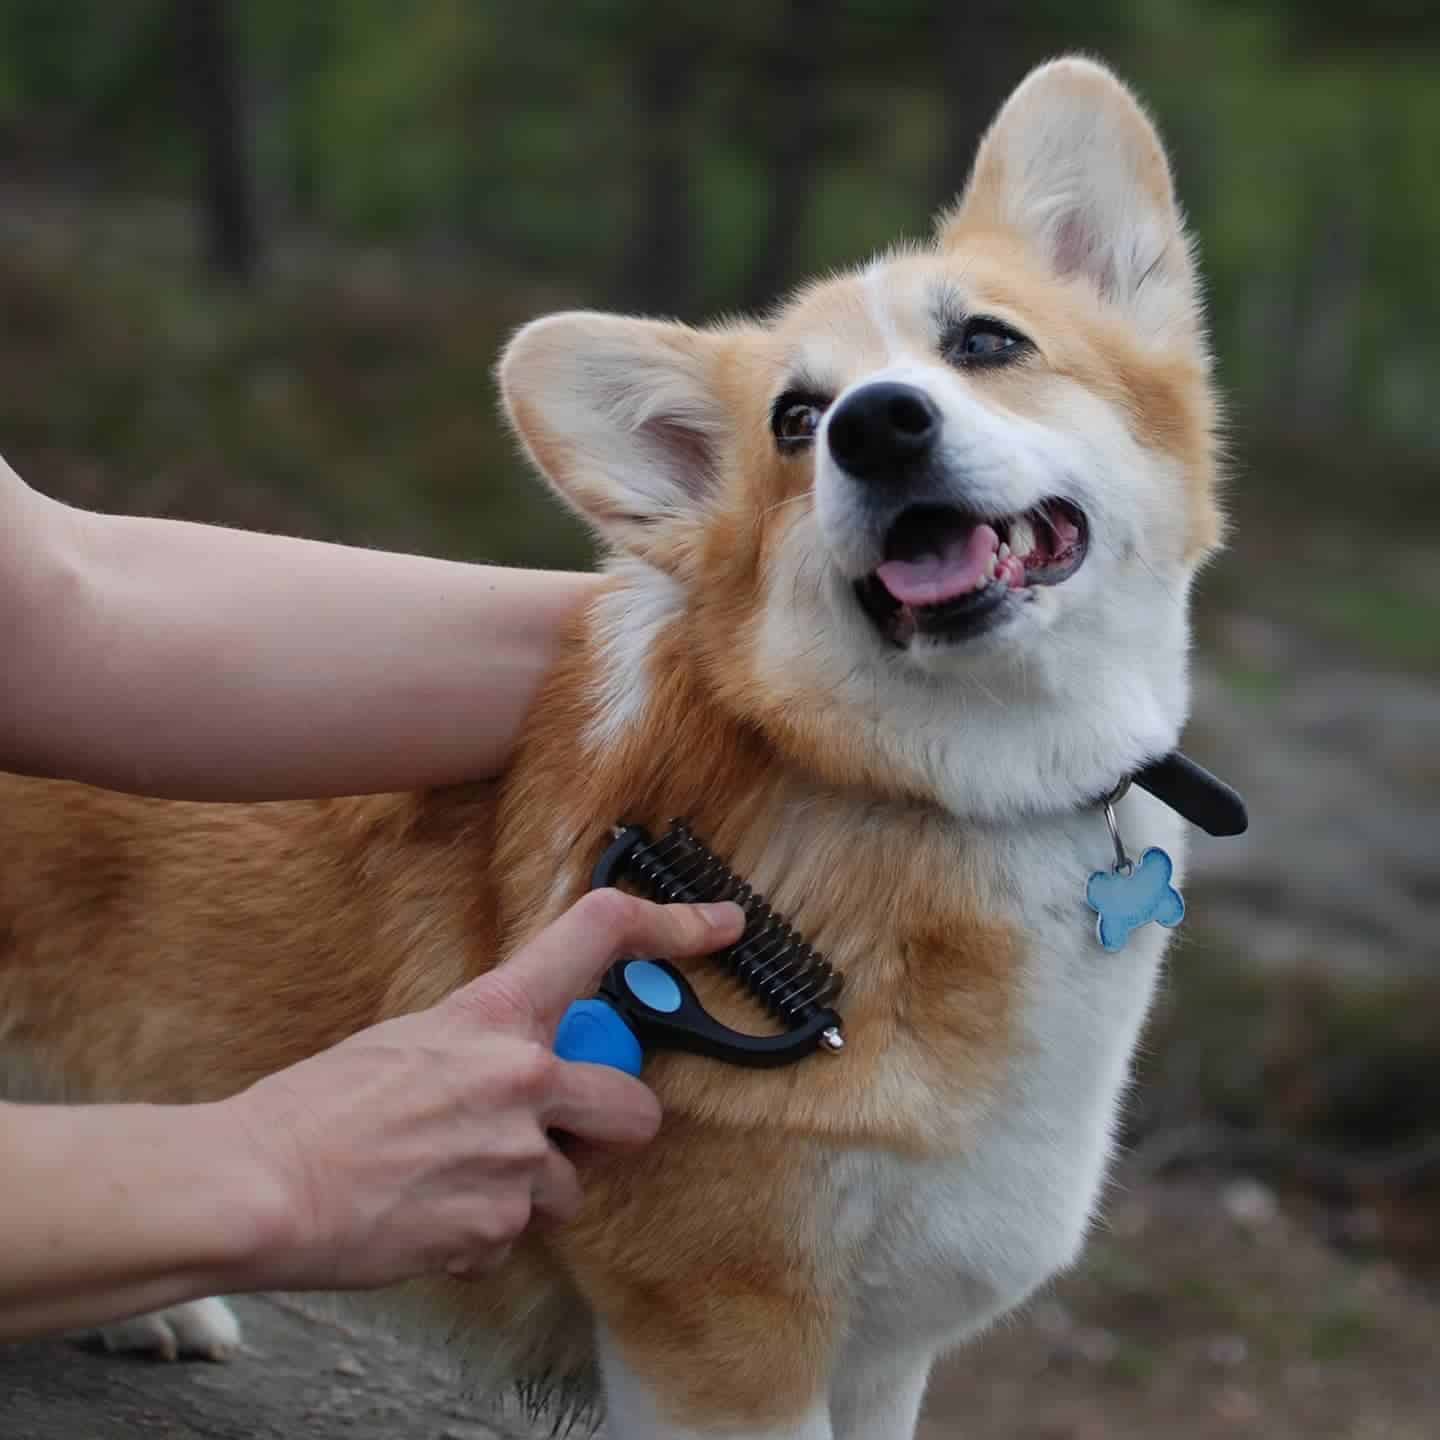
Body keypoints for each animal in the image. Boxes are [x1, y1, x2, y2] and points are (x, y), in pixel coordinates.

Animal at [0, 59, 1221, 1440]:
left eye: (987, 343)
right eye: (796, 421)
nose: (878, 427)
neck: (961, 792)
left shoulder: (880, 1359)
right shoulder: (721, 1347)